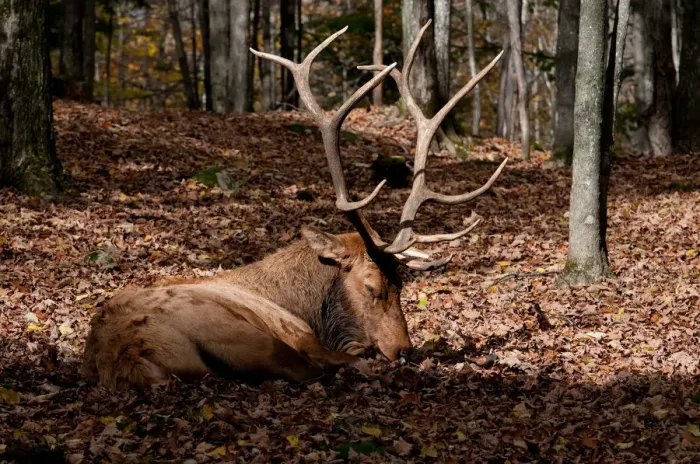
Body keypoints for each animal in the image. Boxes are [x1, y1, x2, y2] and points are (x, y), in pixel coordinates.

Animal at [82, 21, 506, 391]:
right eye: (371, 287)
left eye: (402, 284)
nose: (403, 351)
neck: (304, 306)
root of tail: (132, 356)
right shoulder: (299, 334)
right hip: (252, 337)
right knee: (322, 368)